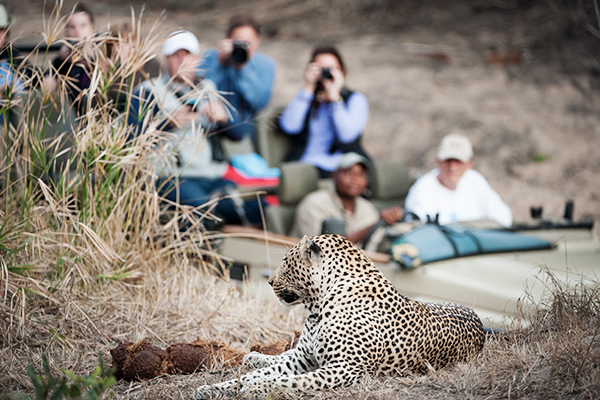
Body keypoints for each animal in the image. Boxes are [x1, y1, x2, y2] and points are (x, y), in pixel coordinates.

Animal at [195, 233, 486, 398]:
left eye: (286, 262)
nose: (269, 281)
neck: (316, 307)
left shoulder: (346, 367)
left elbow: (291, 380)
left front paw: (257, 388)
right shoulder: (304, 357)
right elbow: (264, 373)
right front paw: (211, 389)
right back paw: (255, 357)